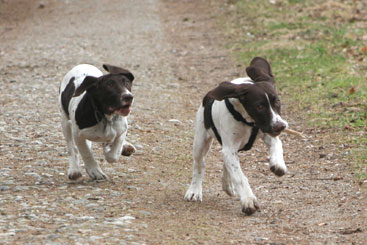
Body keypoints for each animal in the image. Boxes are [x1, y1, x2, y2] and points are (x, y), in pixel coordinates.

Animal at [185, 57, 288, 214]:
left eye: (277, 101)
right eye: (259, 106)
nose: (280, 126)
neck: (248, 120)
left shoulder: (266, 132)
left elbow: (278, 144)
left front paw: (278, 164)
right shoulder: (230, 147)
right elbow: (239, 176)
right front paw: (248, 200)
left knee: (226, 163)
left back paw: (227, 184)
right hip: (201, 140)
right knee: (199, 164)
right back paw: (194, 190)